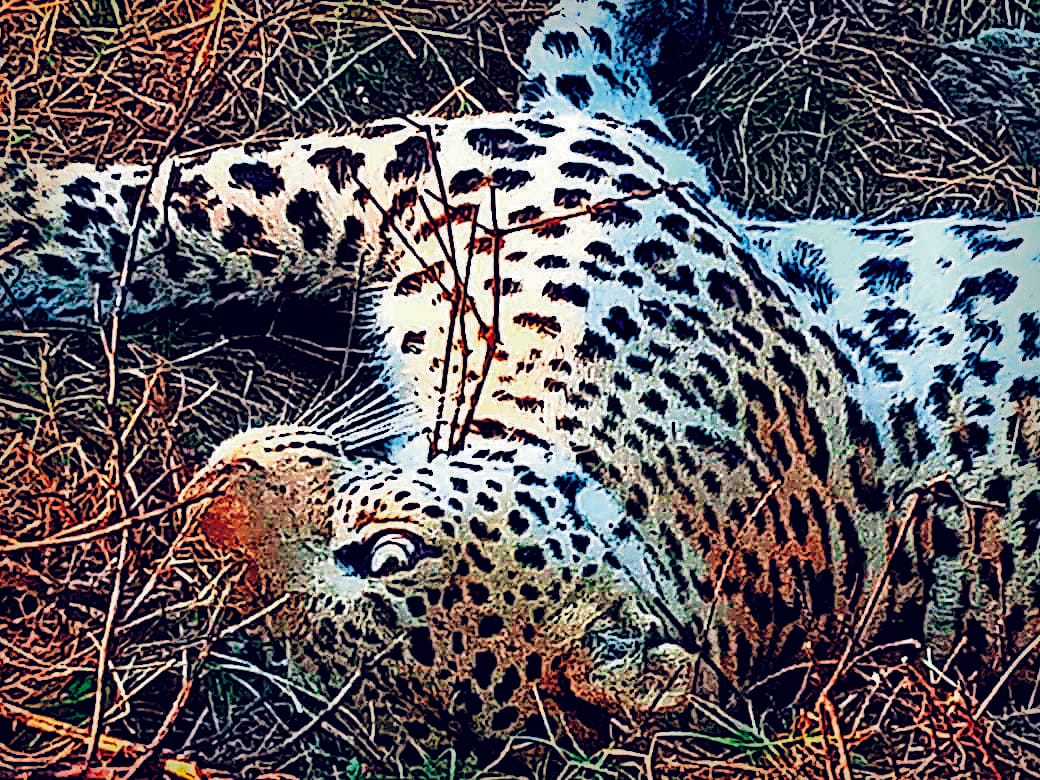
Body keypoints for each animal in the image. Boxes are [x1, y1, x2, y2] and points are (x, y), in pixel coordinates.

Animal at [2, 0, 1039, 764]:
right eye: (263, 639)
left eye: (377, 559)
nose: (201, 499)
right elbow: (210, 219)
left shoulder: (510, 153)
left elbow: (211, 211)